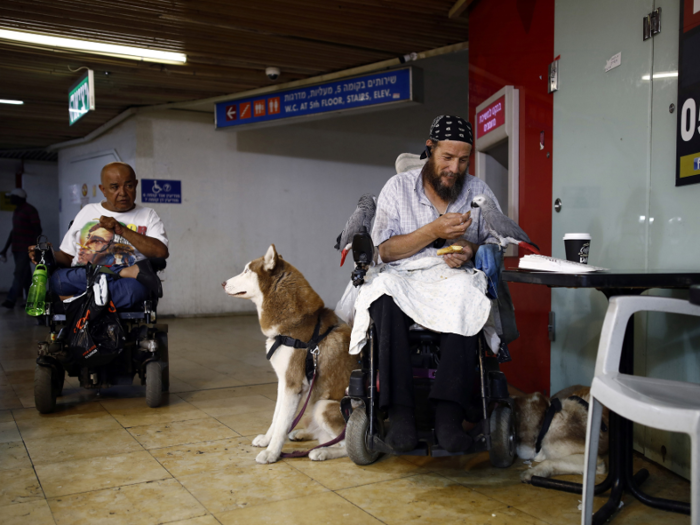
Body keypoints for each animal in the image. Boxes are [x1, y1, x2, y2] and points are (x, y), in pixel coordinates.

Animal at [223, 245, 358, 462]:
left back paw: (323, 451)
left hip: (324, 406)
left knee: (344, 444)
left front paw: (271, 453)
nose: (223, 283)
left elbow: (281, 424)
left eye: (246, 271)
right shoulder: (283, 383)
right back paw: (305, 434)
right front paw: (267, 441)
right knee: (324, 435)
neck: (294, 326)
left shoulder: (292, 386)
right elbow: (277, 418)